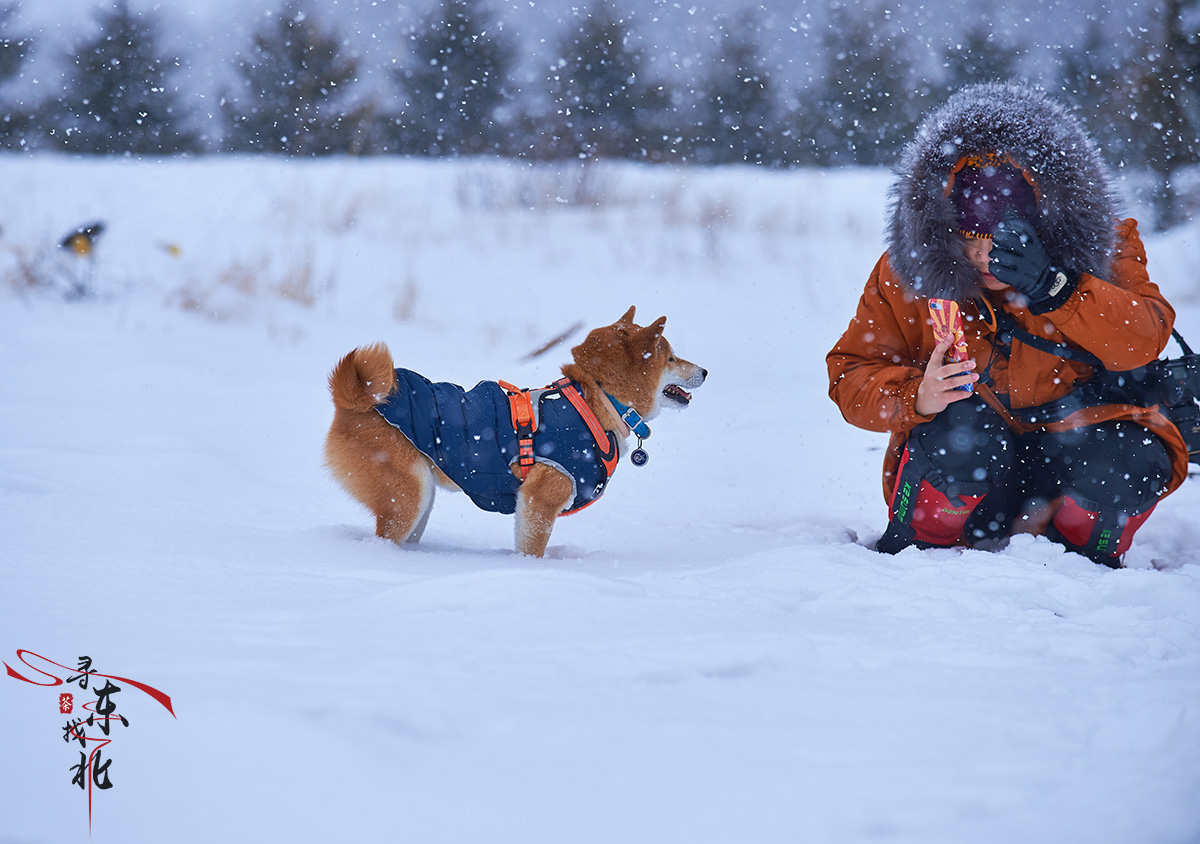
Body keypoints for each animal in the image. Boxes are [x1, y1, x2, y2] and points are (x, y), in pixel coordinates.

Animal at [324, 307, 705, 557]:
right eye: (671, 358)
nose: (705, 371)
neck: (595, 402)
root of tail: (355, 400)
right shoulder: (539, 501)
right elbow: (531, 549)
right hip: (406, 498)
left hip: (421, 498)